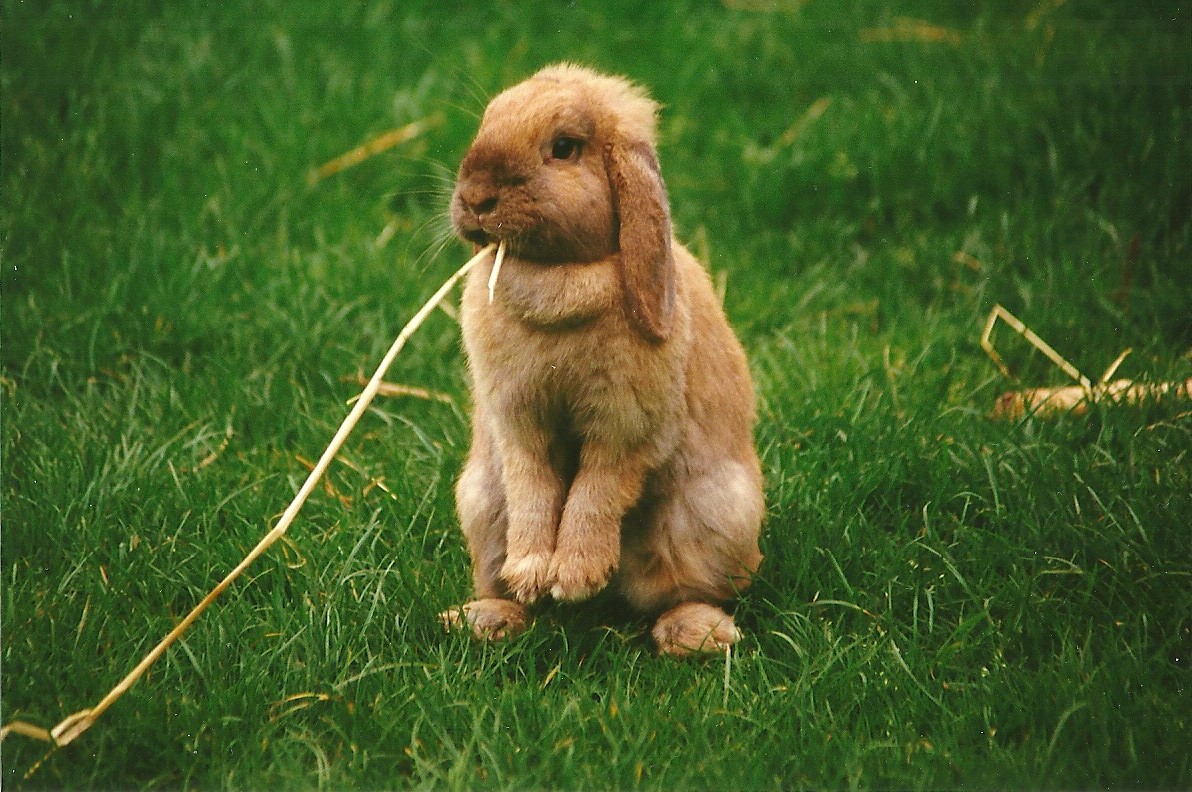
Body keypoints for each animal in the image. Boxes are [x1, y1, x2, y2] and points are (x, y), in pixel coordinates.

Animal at [441, 63, 764, 656]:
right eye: (487, 121)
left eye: (564, 148)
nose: (474, 198)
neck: (558, 277)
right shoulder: (518, 421)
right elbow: (534, 486)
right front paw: (532, 573)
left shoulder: (626, 427)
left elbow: (595, 491)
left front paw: (574, 577)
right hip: (480, 503)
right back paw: (487, 616)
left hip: (714, 517)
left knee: (677, 593)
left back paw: (697, 634)